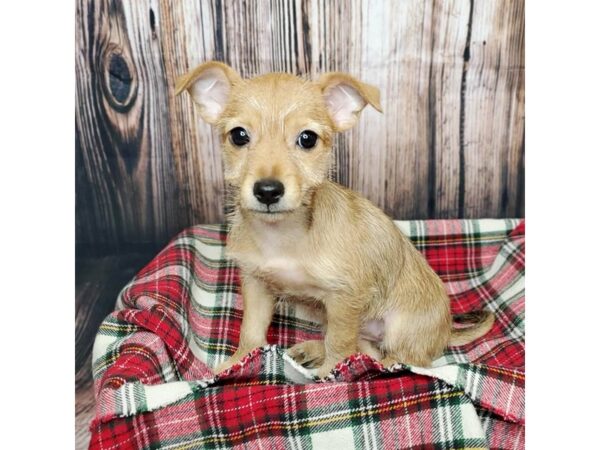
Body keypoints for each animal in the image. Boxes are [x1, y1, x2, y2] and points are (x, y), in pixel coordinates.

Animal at [175, 61, 492, 378]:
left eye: (307, 139)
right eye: (239, 135)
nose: (267, 191)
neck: (283, 236)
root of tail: (446, 330)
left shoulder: (345, 299)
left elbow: (340, 344)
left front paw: (331, 373)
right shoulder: (256, 285)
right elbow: (251, 329)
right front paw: (238, 361)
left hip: (401, 329)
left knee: (399, 359)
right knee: (366, 349)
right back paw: (311, 350)